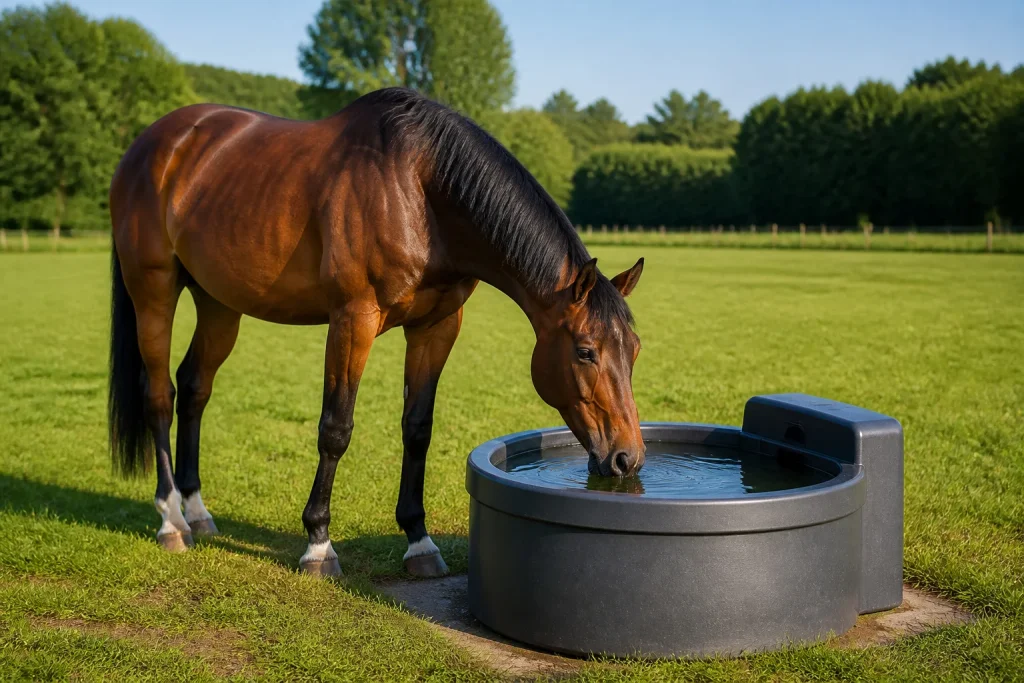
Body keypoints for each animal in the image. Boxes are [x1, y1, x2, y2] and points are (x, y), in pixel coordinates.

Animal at [108, 87, 646, 578]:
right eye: (585, 352)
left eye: (635, 351)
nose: (628, 458)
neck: (420, 191)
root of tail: (154, 145)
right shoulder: (353, 320)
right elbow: (335, 429)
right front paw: (318, 545)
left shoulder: (436, 327)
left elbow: (417, 428)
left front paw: (419, 541)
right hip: (153, 291)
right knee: (160, 394)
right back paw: (172, 521)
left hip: (219, 304)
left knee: (195, 388)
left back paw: (197, 511)